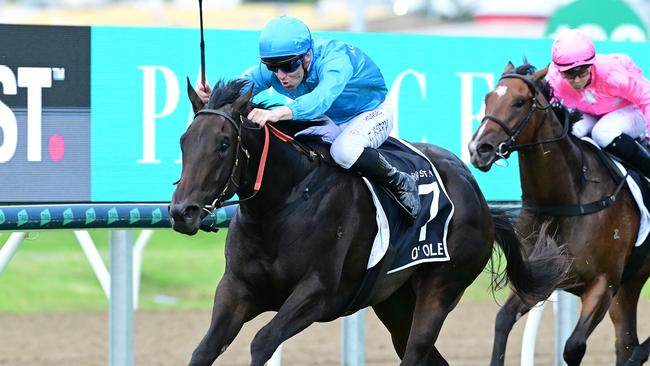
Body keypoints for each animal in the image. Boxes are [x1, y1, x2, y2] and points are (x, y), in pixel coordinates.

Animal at [170, 78, 564, 364]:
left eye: (223, 144)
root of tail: (478, 195)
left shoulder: (318, 293)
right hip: (395, 301)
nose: (181, 212)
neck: (284, 203)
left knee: (417, 349)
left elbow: (262, 342)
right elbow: (204, 349)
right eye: (184, 141)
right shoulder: (237, 288)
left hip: (442, 287)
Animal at [468, 63, 648, 366]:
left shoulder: (603, 283)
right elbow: (502, 319)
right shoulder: (541, 276)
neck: (567, 198)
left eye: (519, 102)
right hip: (630, 285)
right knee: (626, 342)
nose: (479, 149)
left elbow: (573, 347)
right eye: (487, 98)